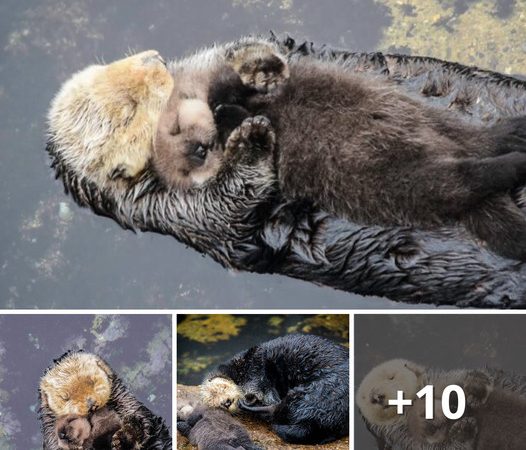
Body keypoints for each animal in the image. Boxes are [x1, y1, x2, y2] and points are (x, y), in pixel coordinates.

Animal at [39, 352, 171, 450]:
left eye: (92, 381)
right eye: (65, 397)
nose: (91, 404)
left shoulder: (122, 397)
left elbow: (137, 414)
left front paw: (128, 432)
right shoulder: (51, 426)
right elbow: (54, 443)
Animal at [153, 43, 526, 260]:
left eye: (176, 129)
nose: (199, 148)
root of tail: (443, 146)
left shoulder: (225, 89)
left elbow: (231, 90)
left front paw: (255, 77)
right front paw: (240, 122)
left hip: (424, 118)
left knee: (474, 141)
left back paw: (510, 135)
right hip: (402, 180)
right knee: (461, 179)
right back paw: (514, 161)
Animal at [202, 334, 350, 442]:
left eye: (223, 387)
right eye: (216, 403)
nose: (226, 402)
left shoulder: (254, 367)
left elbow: (258, 382)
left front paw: (250, 396)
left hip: (319, 390)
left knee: (276, 411)